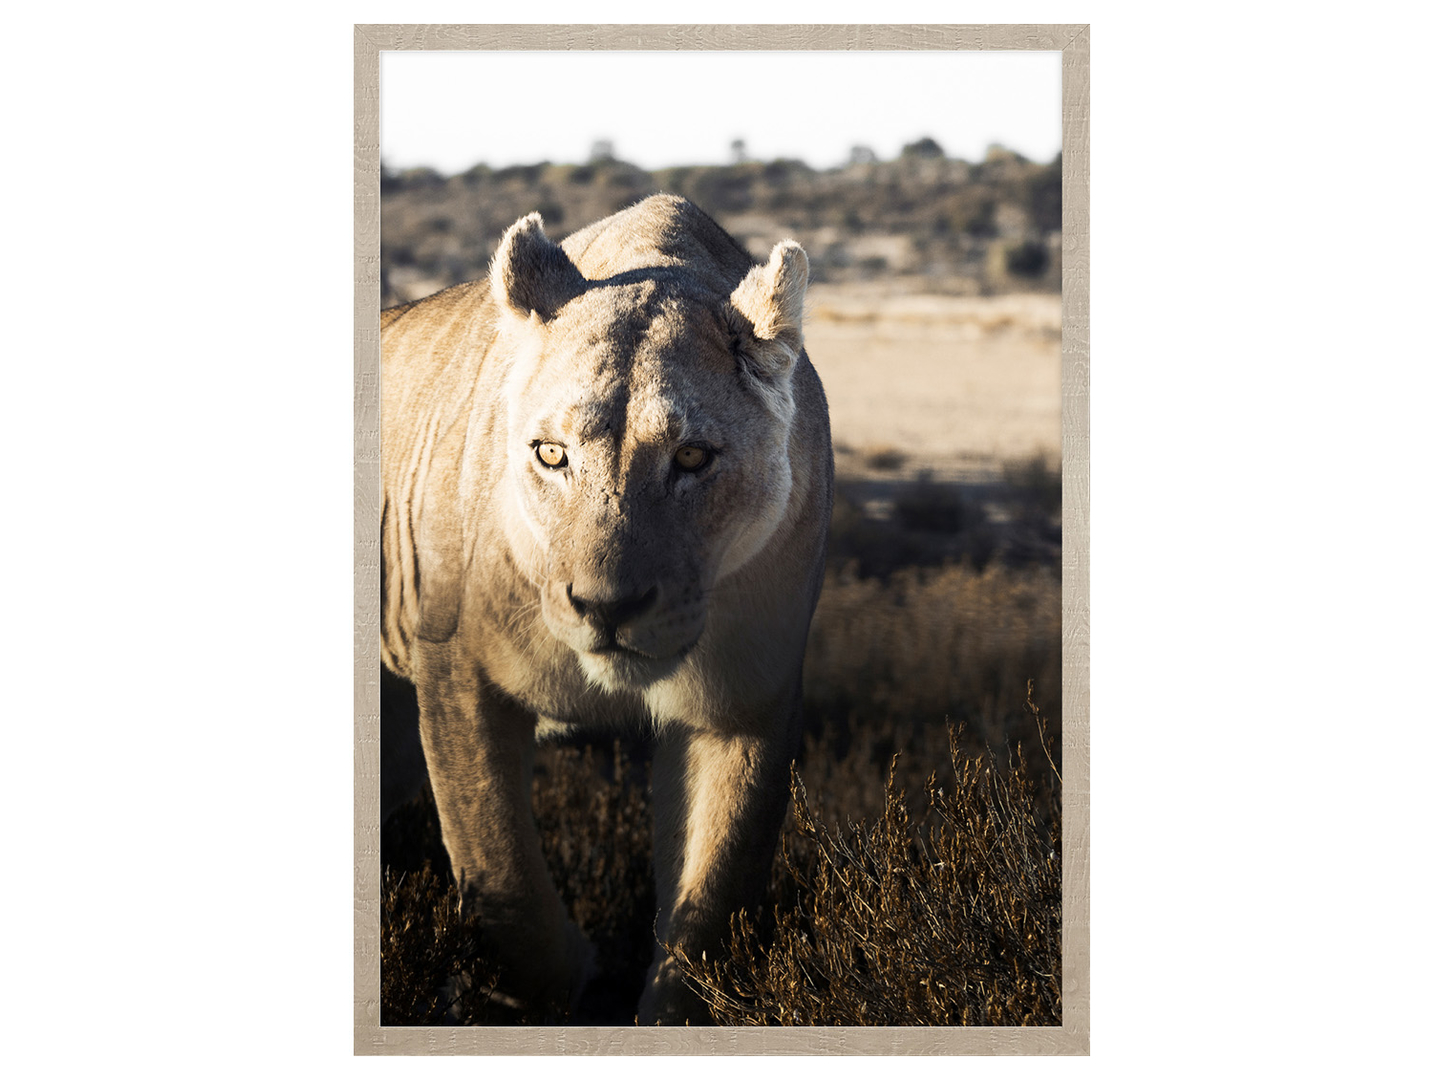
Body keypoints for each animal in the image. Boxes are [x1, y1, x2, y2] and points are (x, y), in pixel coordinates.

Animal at [379, 194, 832, 1025]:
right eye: (552, 455)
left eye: (692, 458)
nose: (605, 607)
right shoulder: (458, 678)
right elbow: (502, 875)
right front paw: (545, 987)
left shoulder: (744, 705)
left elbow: (709, 904)